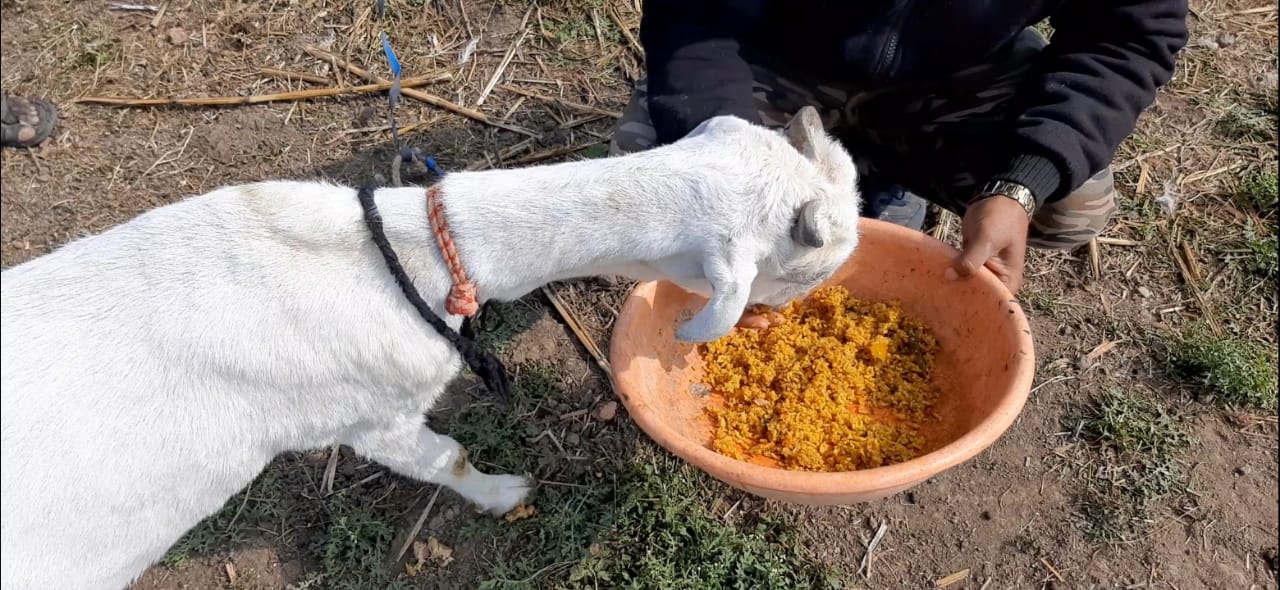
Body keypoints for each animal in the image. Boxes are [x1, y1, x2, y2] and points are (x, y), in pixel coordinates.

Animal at [2, 105, 860, 588]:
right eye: (805, 267)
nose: (783, 317)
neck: (409, 255)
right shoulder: (375, 415)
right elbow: (444, 456)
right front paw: (507, 493)